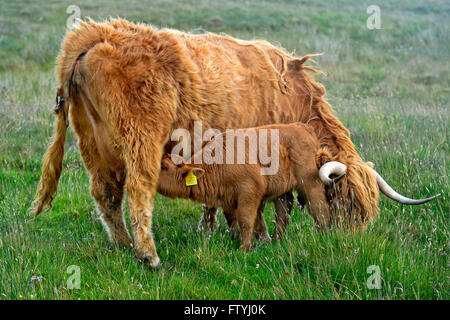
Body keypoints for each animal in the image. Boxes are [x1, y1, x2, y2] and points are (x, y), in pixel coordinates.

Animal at [29, 18, 438, 268]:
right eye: (345, 202)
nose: (349, 247)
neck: (291, 95)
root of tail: (94, 34)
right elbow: (273, 205)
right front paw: (262, 237)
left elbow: (219, 202)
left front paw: (213, 230)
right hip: (142, 138)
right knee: (138, 192)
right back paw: (149, 254)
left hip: (91, 142)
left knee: (105, 195)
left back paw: (123, 245)